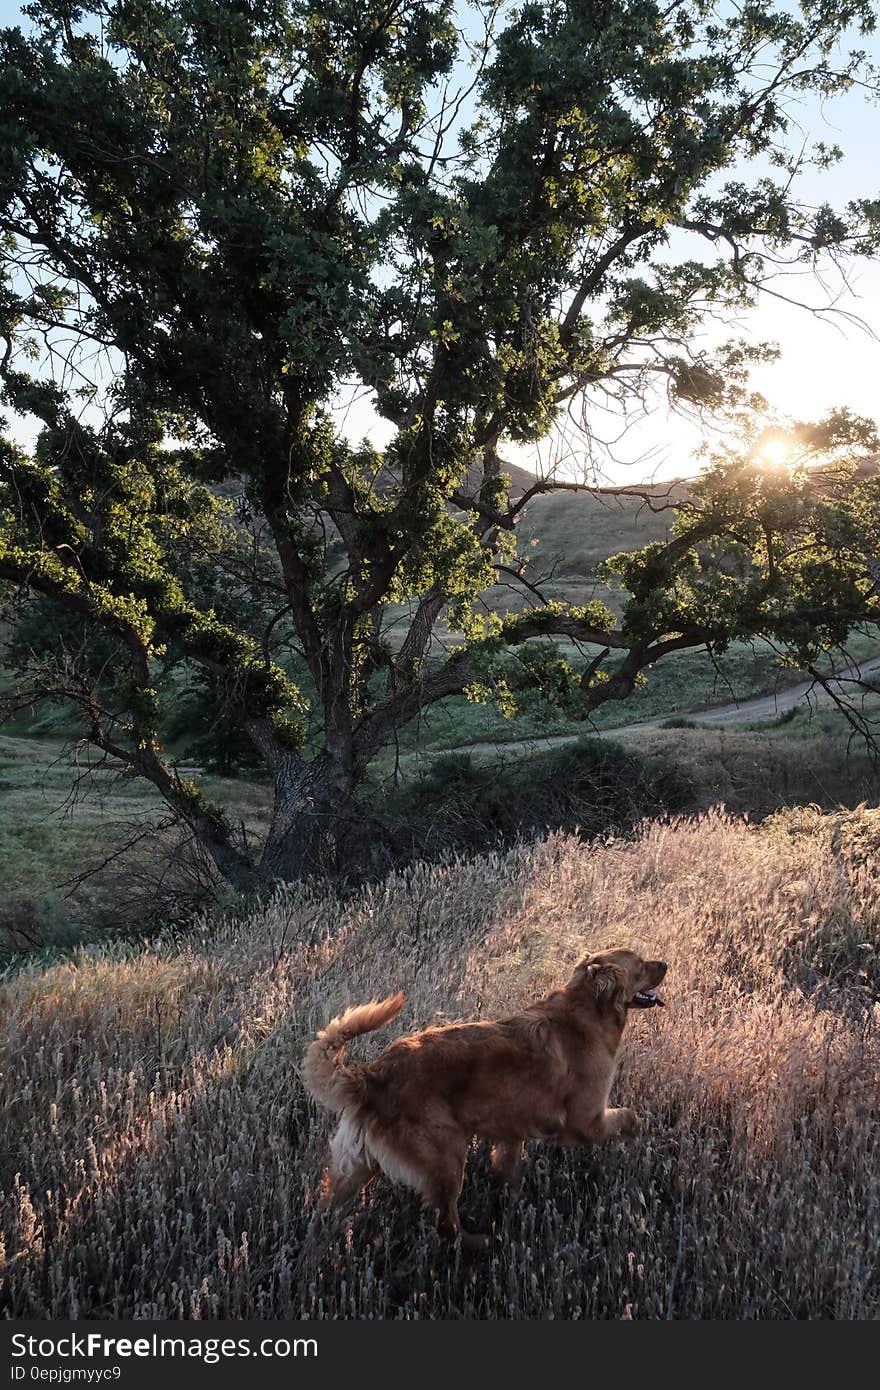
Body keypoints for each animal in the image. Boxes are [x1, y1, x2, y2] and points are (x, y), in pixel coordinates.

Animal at [301, 945, 664, 1251]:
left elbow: (510, 1171)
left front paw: (513, 1203)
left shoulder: (511, 1132)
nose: (665, 964)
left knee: (324, 1215)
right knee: (447, 1226)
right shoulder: (585, 1122)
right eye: (640, 963)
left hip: (353, 1171)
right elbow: (631, 1117)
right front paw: (640, 1139)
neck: (586, 1010)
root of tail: (371, 1077)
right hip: (447, 1159)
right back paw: (481, 1243)